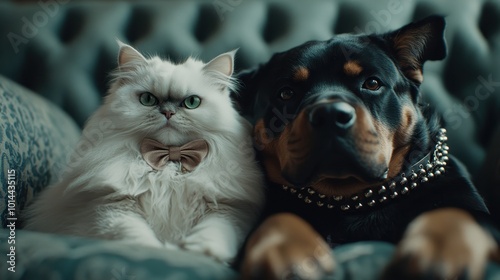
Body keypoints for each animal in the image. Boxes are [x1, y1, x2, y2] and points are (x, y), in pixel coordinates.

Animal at [22, 42, 266, 264]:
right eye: (148, 99)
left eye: (192, 102)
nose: (168, 112)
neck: (170, 161)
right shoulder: (110, 207)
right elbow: (133, 234)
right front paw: (157, 250)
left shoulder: (227, 209)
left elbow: (214, 231)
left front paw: (199, 252)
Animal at [235, 15, 500, 280]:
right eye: (286, 93)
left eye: (372, 83)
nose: (329, 114)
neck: (354, 199)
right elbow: (278, 218)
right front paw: (286, 249)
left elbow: (457, 214)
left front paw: (438, 249)